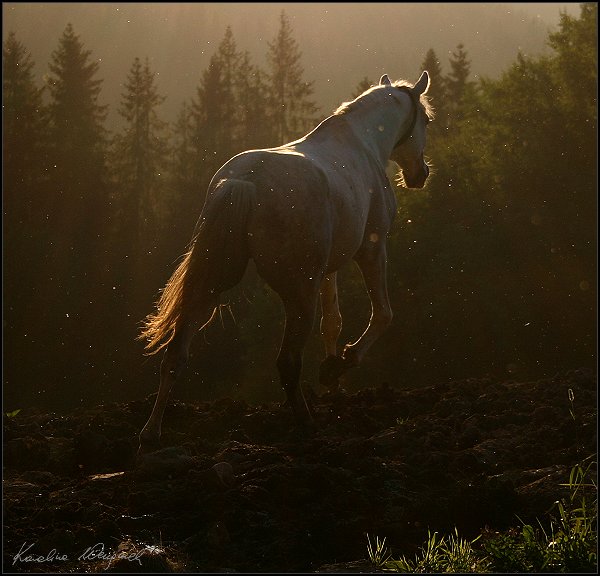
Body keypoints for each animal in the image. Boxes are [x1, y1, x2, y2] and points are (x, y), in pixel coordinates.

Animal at [138, 71, 434, 450]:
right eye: (426, 120)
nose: (420, 174)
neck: (363, 144)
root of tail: (242, 182)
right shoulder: (372, 248)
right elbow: (382, 314)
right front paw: (340, 365)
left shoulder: (328, 269)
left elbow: (333, 322)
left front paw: (334, 383)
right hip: (298, 294)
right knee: (288, 362)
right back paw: (308, 425)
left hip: (211, 284)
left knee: (176, 353)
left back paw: (151, 432)